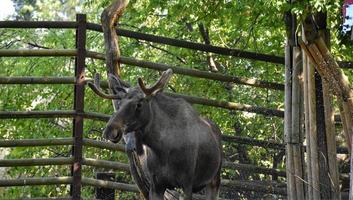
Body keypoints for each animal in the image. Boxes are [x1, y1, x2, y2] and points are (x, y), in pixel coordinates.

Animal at [89, 69, 221, 200]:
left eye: (139, 104)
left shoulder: (187, 184)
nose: (110, 131)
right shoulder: (156, 185)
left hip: (214, 180)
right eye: (119, 103)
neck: (163, 149)